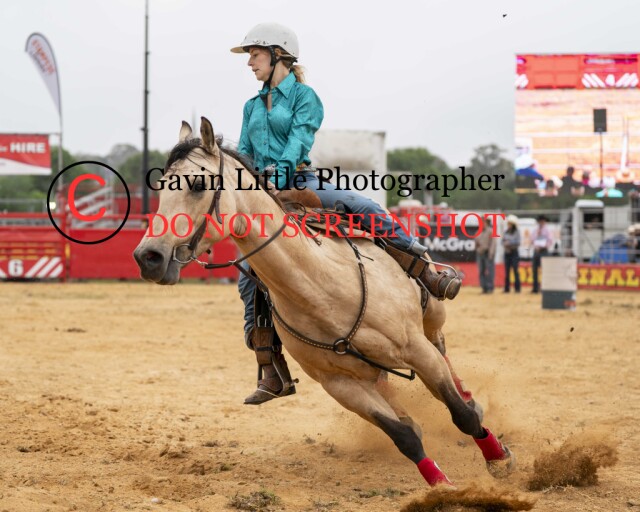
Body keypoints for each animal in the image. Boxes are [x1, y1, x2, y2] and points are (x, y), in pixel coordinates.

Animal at [133, 117, 515, 487]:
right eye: (161, 186)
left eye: (198, 184)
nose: (148, 256)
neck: (321, 289)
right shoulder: (339, 385)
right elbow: (404, 436)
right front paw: (440, 484)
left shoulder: (415, 349)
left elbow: (461, 415)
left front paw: (499, 460)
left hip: (432, 318)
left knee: (443, 352)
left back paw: (467, 391)